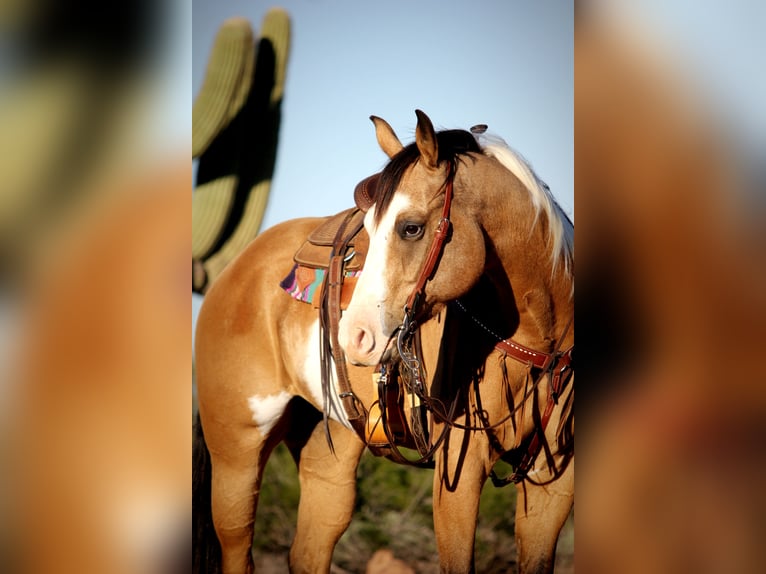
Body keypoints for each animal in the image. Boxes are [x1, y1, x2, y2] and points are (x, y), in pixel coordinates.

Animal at [193, 110, 574, 574]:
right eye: (370, 230)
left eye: (411, 228)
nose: (353, 337)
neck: (541, 347)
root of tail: (236, 266)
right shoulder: (458, 474)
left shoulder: (552, 487)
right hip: (237, 449)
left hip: (327, 451)